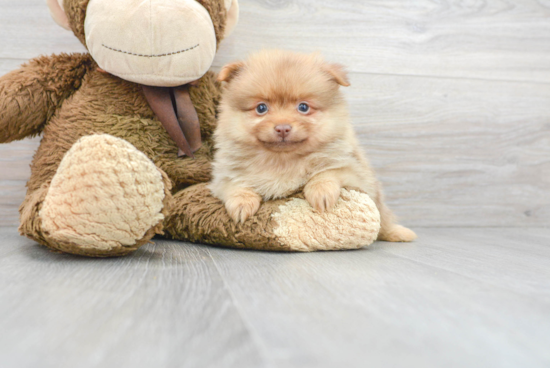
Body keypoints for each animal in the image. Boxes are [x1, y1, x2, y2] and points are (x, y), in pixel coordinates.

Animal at [211, 50, 418, 243]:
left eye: (303, 107)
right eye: (261, 108)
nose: (283, 128)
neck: (282, 161)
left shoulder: (354, 173)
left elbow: (326, 173)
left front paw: (321, 192)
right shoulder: (224, 177)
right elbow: (235, 185)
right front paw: (242, 204)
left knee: (385, 221)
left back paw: (399, 233)